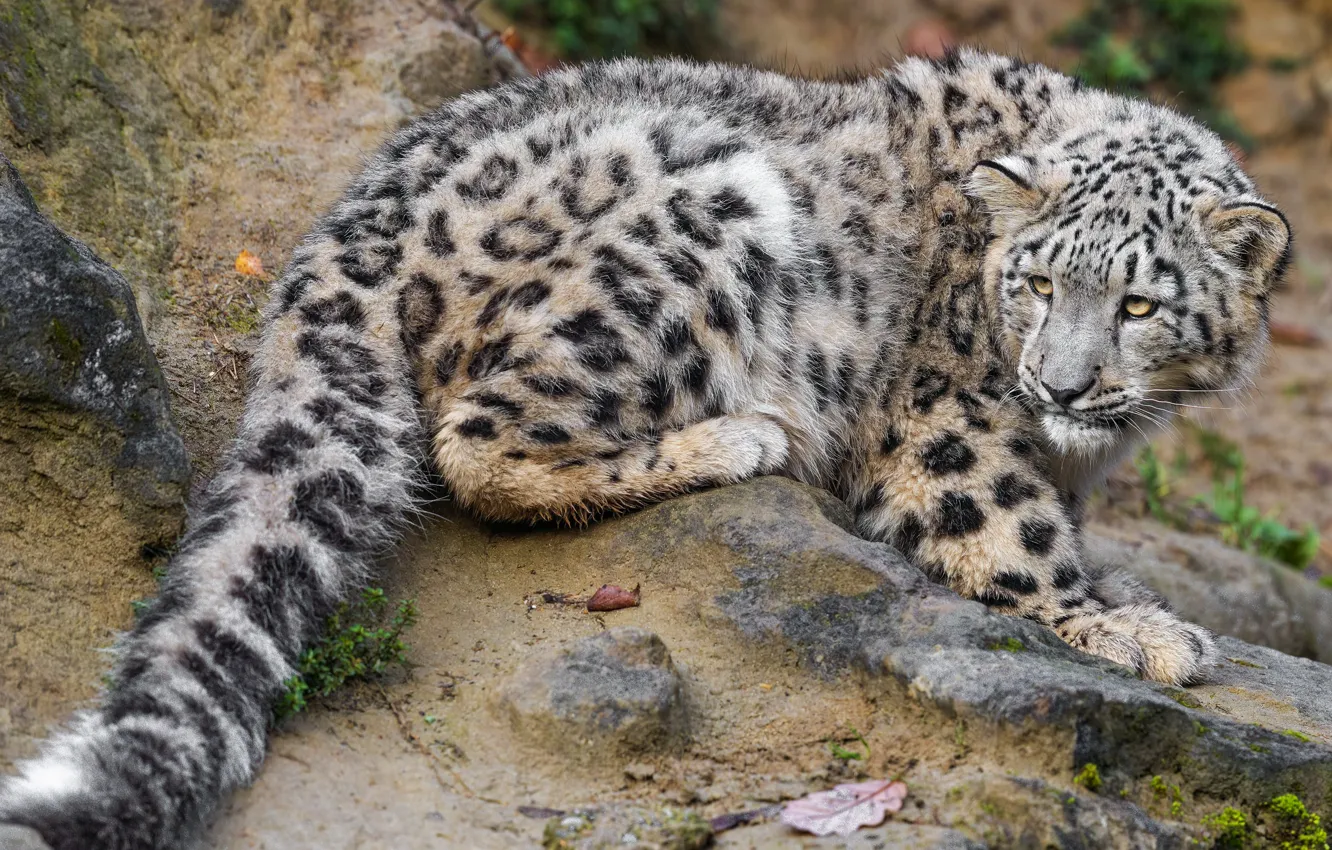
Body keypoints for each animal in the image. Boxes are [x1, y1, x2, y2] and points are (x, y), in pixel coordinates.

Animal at [0, 48, 1290, 850]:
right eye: (1036, 283)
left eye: (1138, 304)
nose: (1060, 384)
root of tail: (340, 233)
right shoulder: (945, 421)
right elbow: (1012, 534)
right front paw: (1127, 626)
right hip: (700, 230)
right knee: (478, 442)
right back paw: (743, 436)